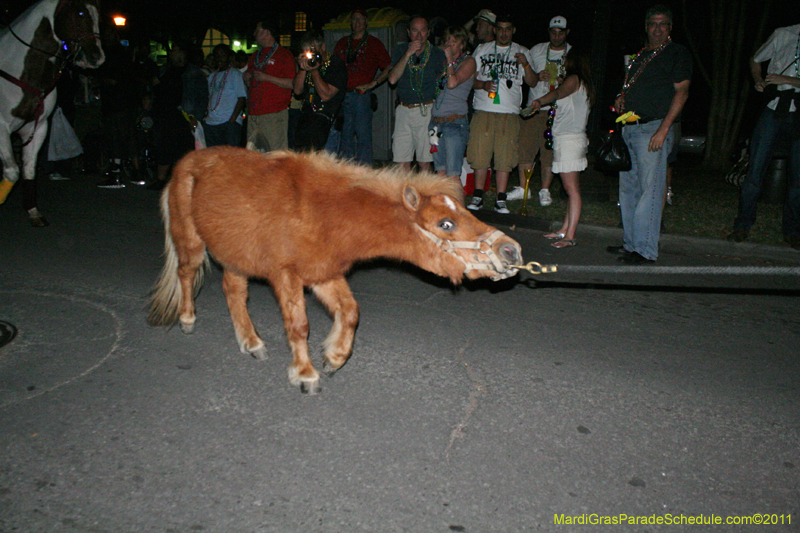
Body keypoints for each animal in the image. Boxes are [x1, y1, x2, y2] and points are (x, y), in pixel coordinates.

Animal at [0, 0, 104, 224]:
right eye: (80, 13)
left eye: (97, 14)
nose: (97, 58)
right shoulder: (1, 129)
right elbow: (12, 171)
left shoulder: (37, 127)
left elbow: (28, 169)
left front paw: (33, 212)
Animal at [148, 148, 524, 392]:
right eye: (445, 223)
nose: (510, 250)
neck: (321, 211)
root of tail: (184, 164)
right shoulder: (286, 275)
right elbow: (299, 326)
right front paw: (306, 374)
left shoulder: (323, 273)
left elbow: (350, 312)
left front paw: (334, 357)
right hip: (192, 242)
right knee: (186, 274)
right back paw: (187, 319)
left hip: (236, 255)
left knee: (234, 293)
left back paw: (252, 342)